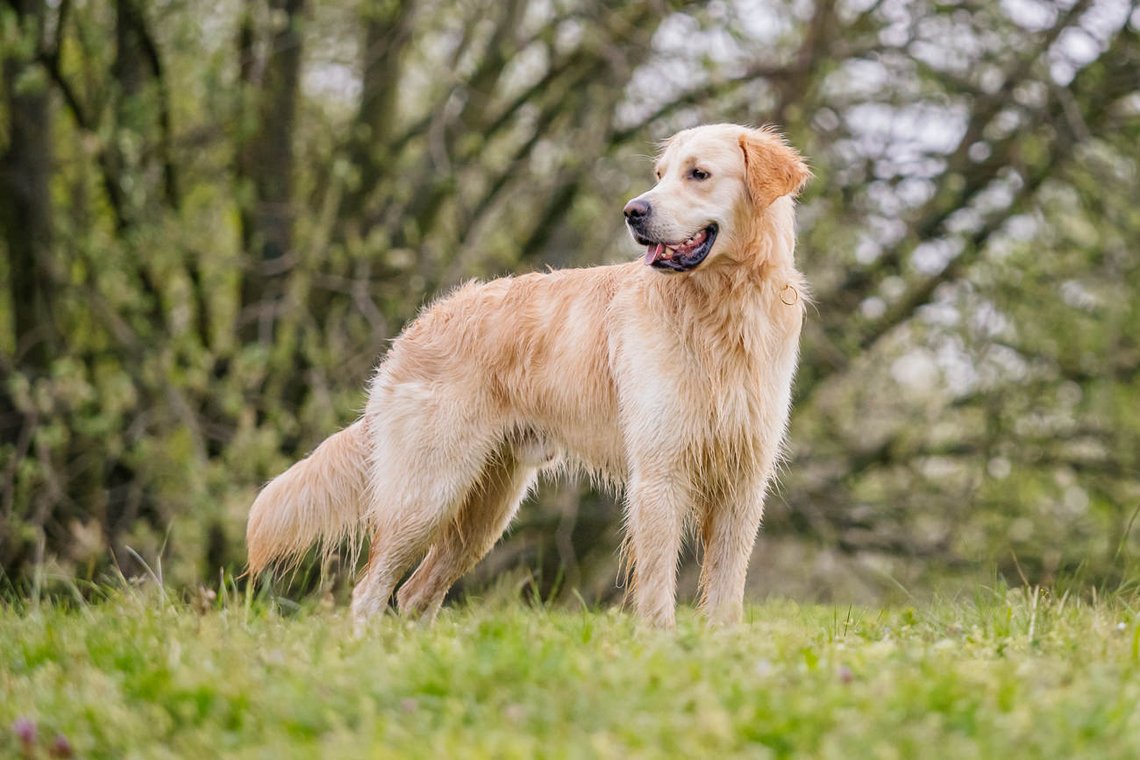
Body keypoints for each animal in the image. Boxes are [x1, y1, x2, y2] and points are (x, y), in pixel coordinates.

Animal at [247, 121, 811, 628]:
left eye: (699, 174)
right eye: (659, 174)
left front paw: (721, 649)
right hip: (427, 493)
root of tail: (414, 330)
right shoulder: (659, 476)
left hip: (485, 510)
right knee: (370, 591)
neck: (723, 311)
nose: (633, 211)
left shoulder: (744, 482)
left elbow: (727, 596)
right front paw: (662, 650)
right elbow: (656, 593)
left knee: (414, 594)